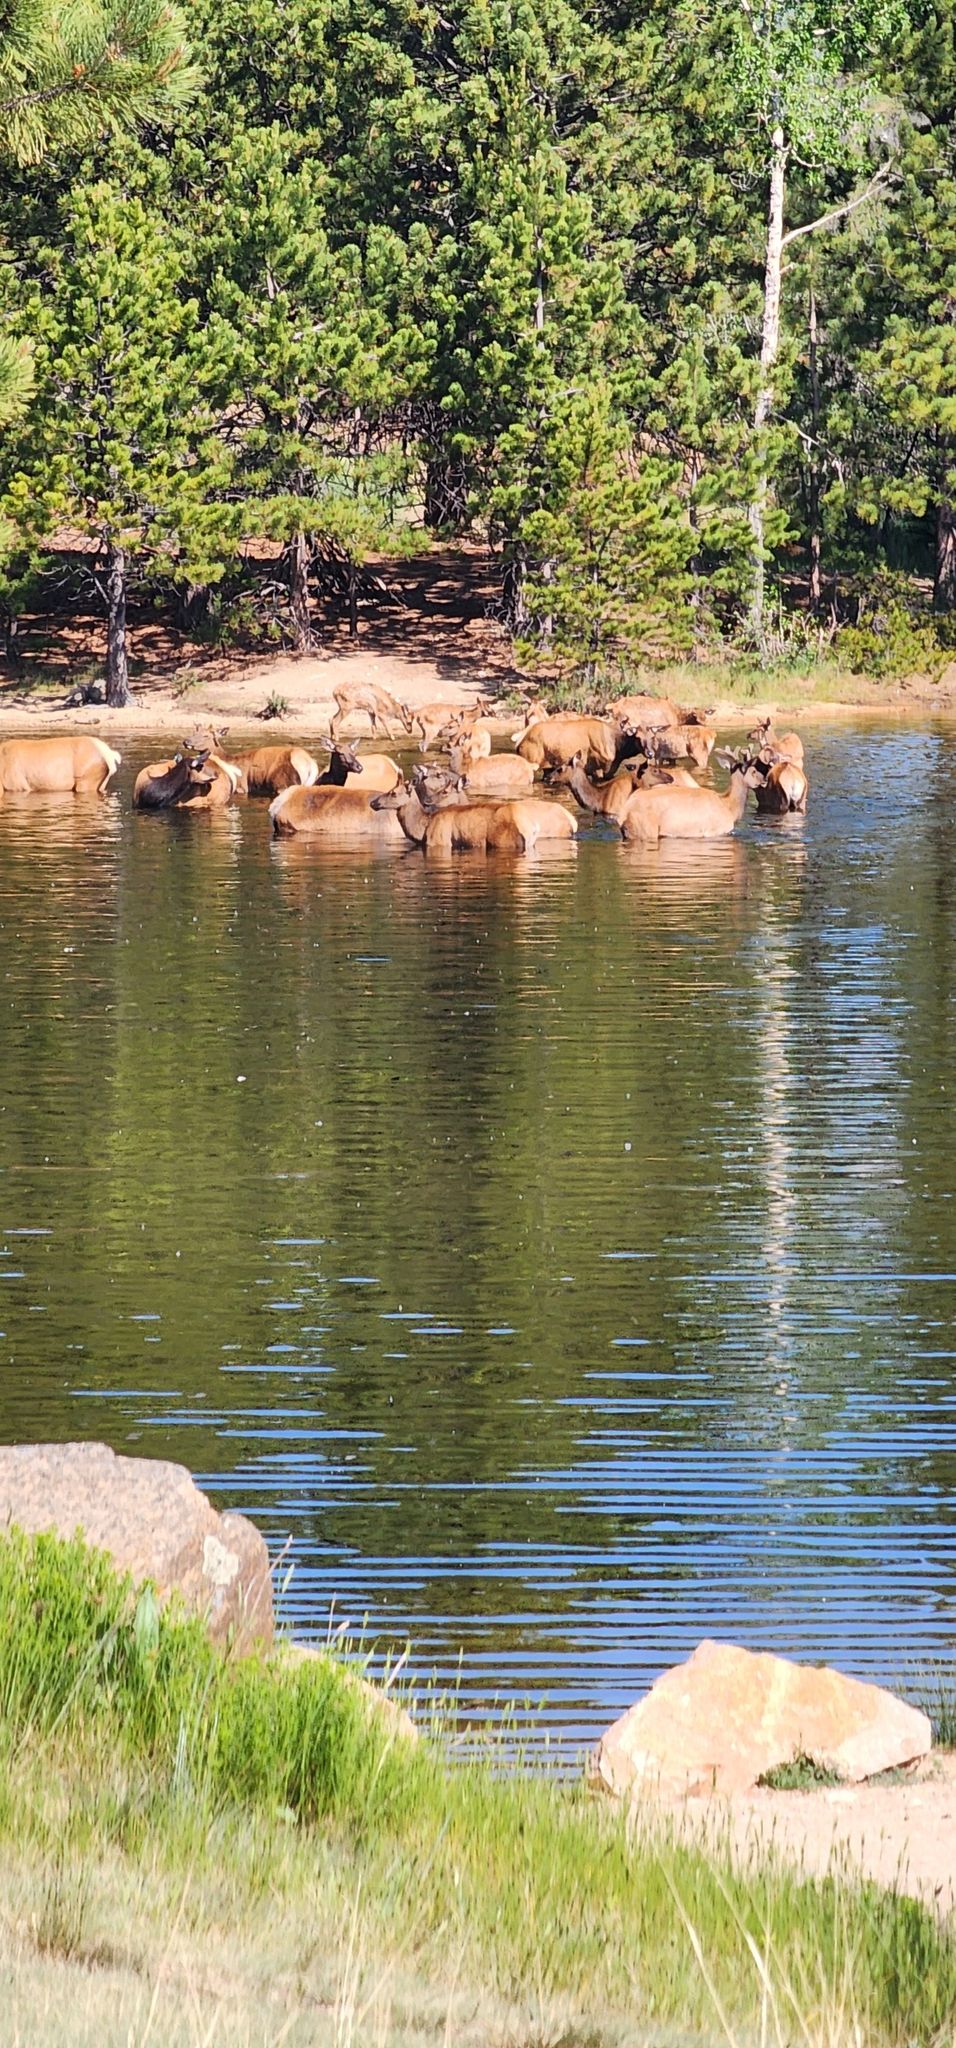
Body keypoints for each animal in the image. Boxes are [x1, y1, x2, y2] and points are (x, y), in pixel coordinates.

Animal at [620, 749, 763, 845]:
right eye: (753, 770)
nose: (764, 780)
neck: (729, 807)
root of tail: (624, 813)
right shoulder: (715, 831)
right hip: (646, 830)